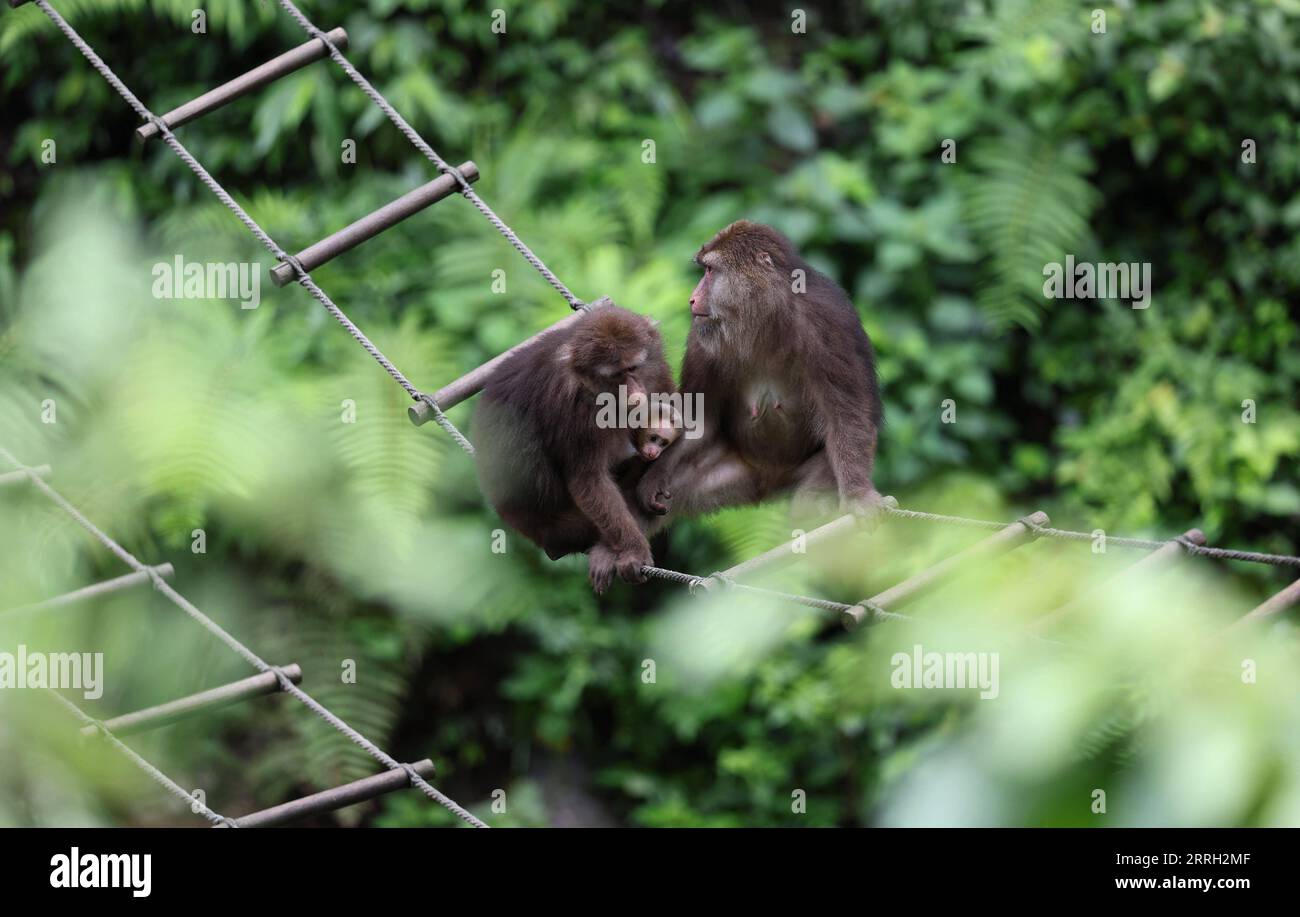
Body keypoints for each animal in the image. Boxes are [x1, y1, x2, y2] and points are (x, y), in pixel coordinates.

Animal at [473, 304, 676, 593]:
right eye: (616, 376)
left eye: (634, 368)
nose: (634, 393)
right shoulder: (573, 409)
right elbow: (588, 480)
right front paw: (632, 549)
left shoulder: (657, 373)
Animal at [631, 217, 883, 525]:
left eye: (710, 270)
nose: (692, 299)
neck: (764, 317)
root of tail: (768, 484)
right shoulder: (701, 337)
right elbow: (698, 420)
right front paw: (654, 476)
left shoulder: (830, 324)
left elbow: (845, 418)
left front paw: (858, 495)